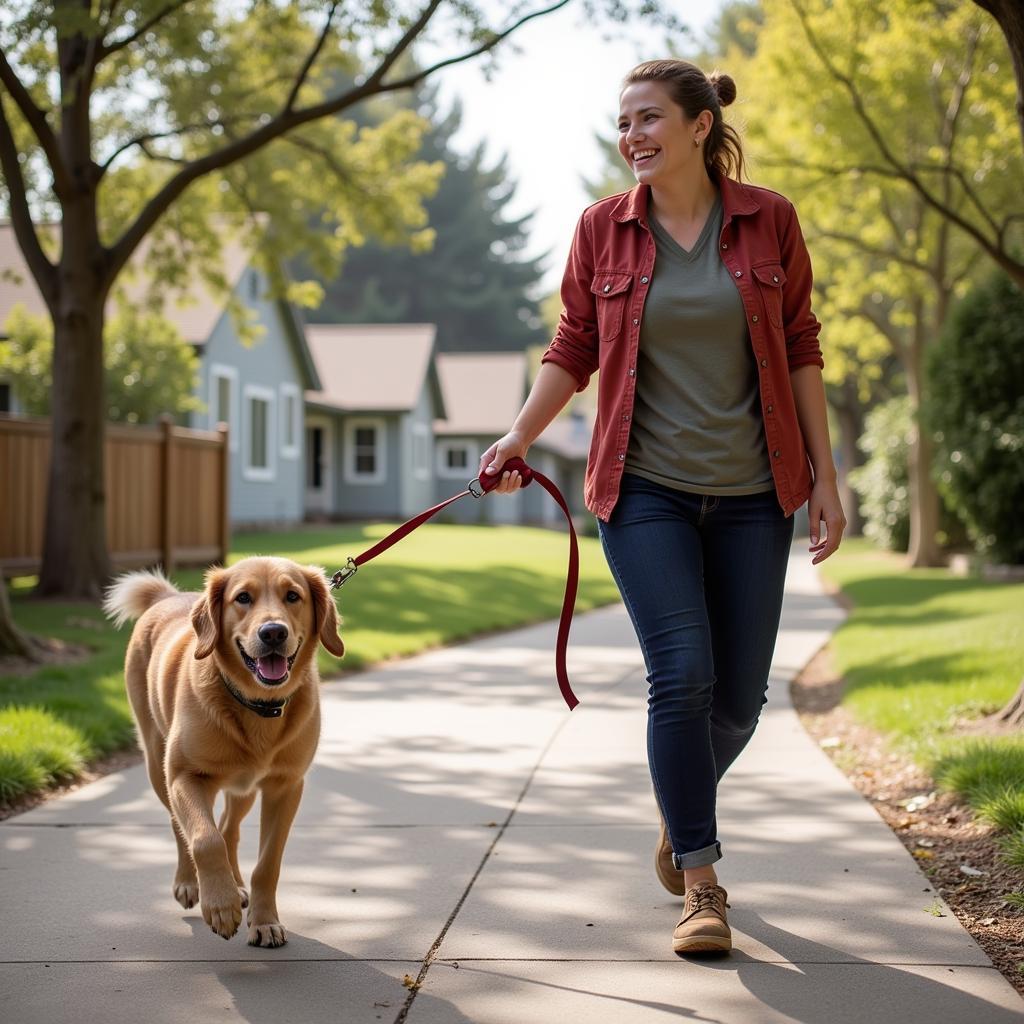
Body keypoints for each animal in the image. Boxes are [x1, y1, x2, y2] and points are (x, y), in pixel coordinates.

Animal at [102, 561, 344, 942]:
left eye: (293, 596)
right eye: (242, 598)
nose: (273, 633)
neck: (257, 705)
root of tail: (166, 597)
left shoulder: (286, 787)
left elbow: (267, 862)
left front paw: (264, 920)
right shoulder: (185, 777)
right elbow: (204, 838)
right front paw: (220, 905)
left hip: (243, 789)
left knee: (229, 828)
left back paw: (237, 884)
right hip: (158, 767)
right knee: (181, 825)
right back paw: (190, 883)